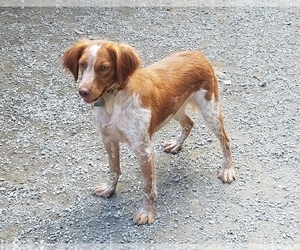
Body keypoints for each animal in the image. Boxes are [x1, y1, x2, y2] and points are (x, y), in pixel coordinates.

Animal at [62, 40, 236, 226]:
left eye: (104, 67)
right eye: (82, 64)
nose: (83, 91)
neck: (114, 100)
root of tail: (198, 54)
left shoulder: (144, 149)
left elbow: (147, 186)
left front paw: (146, 213)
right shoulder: (108, 140)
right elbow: (114, 170)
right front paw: (109, 190)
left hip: (210, 111)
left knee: (225, 140)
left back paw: (228, 170)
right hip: (174, 109)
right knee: (189, 123)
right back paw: (176, 145)